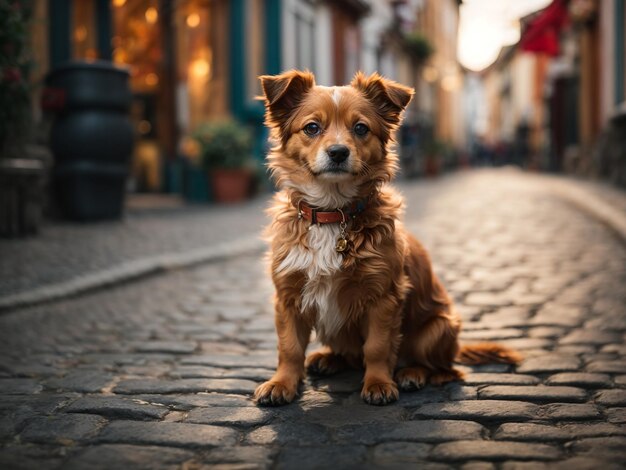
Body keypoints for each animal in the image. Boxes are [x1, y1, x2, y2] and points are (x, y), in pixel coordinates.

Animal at [252, 70, 516, 408]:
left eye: (360, 128)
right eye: (312, 127)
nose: (338, 152)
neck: (332, 213)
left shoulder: (383, 297)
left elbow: (377, 347)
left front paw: (378, 383)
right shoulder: (288, 296)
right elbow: (289, 348)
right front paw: (282, 383)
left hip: (438, 329)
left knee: (445, 370)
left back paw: (412, 374)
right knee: (350, 356)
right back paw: (329, 358)